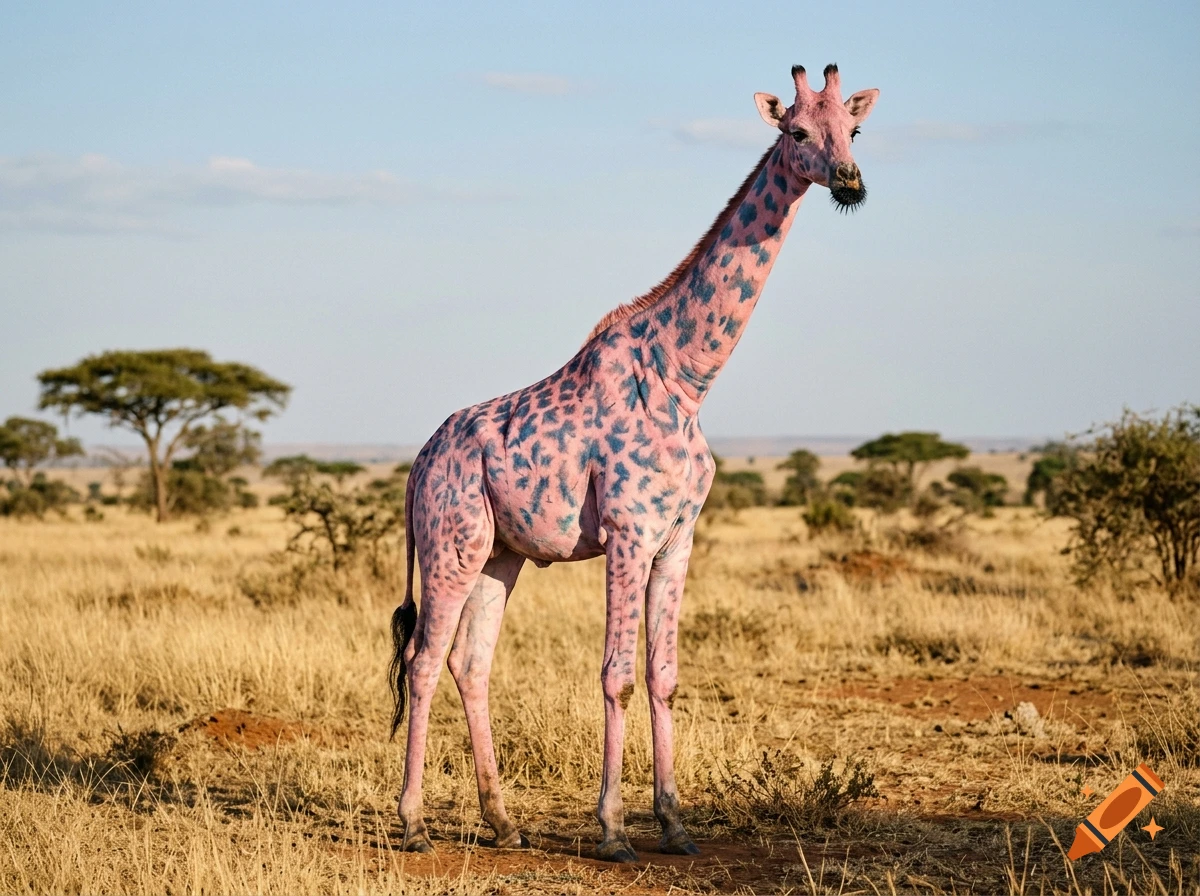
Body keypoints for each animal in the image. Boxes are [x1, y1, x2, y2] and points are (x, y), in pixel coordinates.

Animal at [389, 63, 879, 863]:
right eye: (798, 130)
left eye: (855, 130)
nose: (849, 180)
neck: (688, 377)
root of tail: (419, 463)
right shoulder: (627, 531)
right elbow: (617, 674)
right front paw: (614, 829)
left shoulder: (678, 538)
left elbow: (665, 674)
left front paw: (675, 824)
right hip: (448, 546)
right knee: (425, 662)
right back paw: (412, 823)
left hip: (499, 553)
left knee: (471, 663)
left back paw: (504, 823)